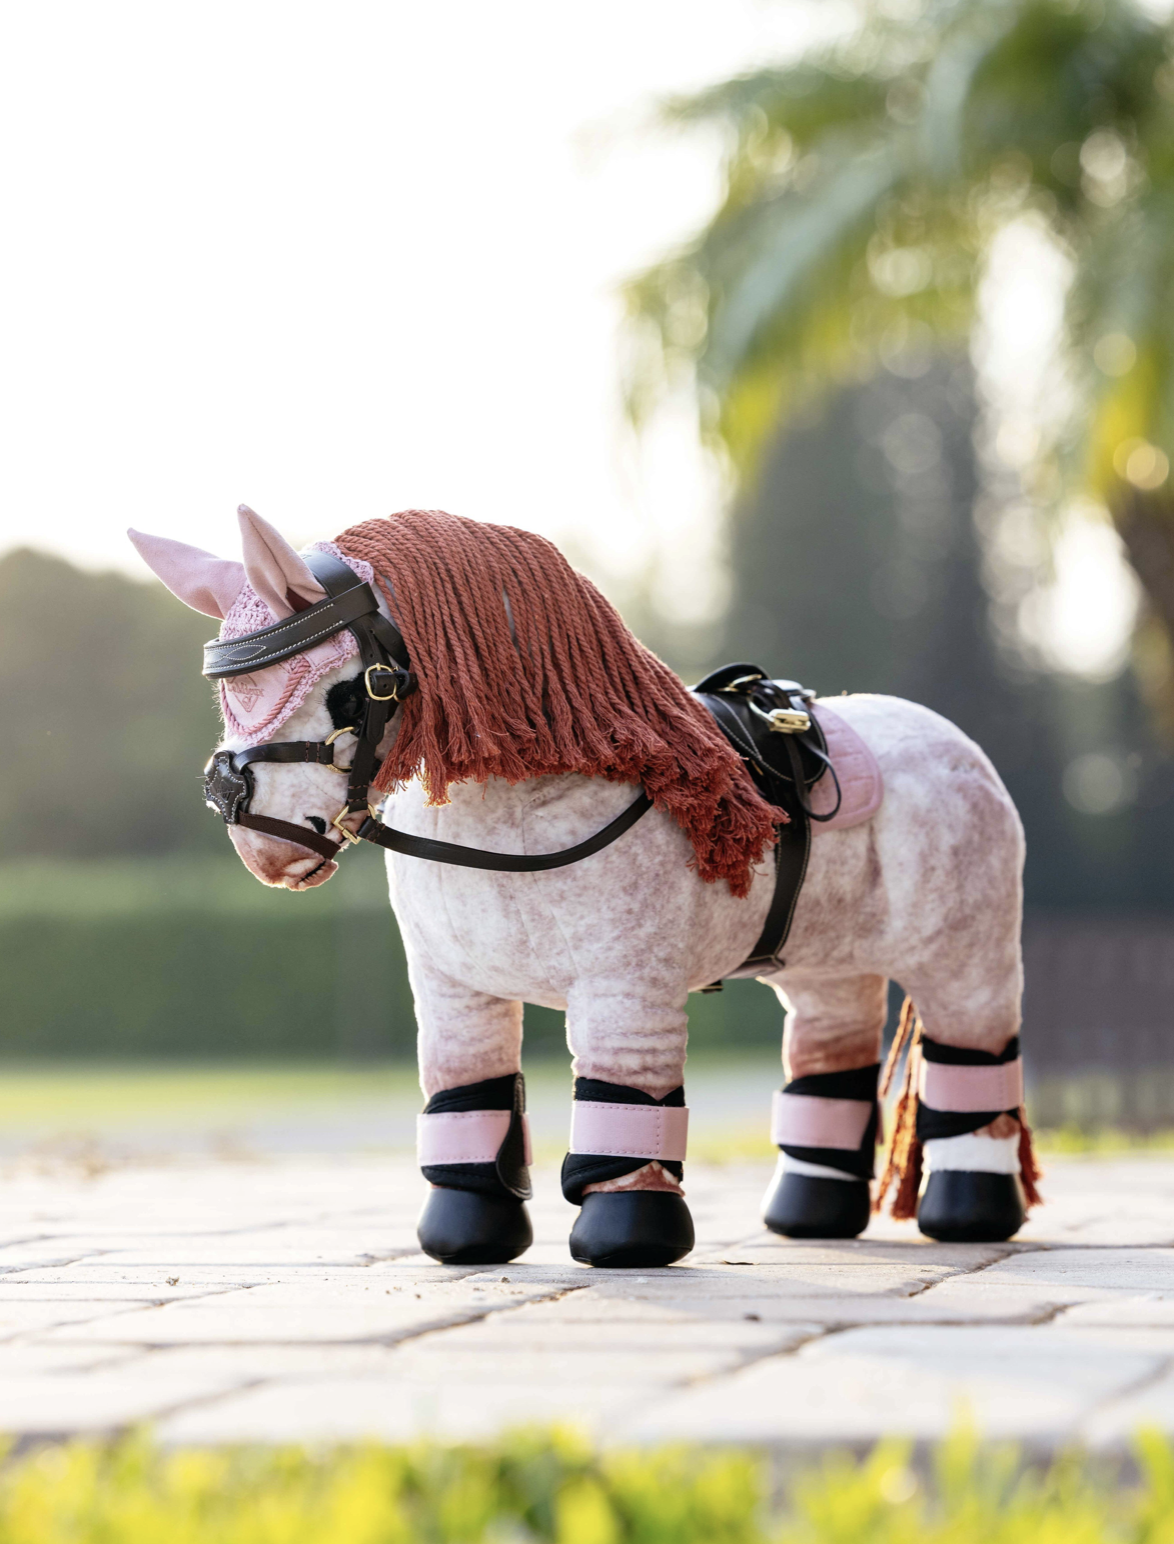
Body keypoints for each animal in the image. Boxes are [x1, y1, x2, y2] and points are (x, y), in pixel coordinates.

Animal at [129, 505, 1037, 1269]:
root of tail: (954, 741)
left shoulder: (625, 985)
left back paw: (969, 1213)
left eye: (348, 690)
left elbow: (621, 1101)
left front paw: (629, 1240)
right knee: (829, 1054)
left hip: (966, 955)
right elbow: (466, 1092)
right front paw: (466, 1239)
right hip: (826, 964)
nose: (252, 831)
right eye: (227, 693)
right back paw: (808, 1218)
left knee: (974, 1057)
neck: (512, 808)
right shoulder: (452, 988)